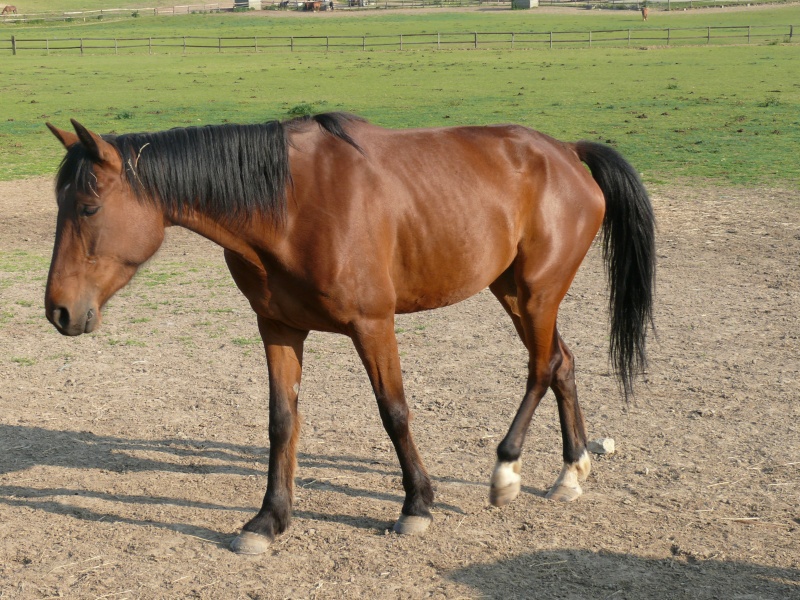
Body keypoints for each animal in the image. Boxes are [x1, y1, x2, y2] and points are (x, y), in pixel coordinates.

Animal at [45, 115, 656, 556]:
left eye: (89, 206)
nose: (58, 310)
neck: (289, 207)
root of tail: (566, 151)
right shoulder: (278, 327)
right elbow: (282, 423)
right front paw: (269, 520)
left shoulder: (373, 324)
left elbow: (394, 412)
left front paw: (416, 506)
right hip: (511, 291)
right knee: (561, 362)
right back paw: (571, 470)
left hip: (536, 293)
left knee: (541, 367)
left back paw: (507, 470)